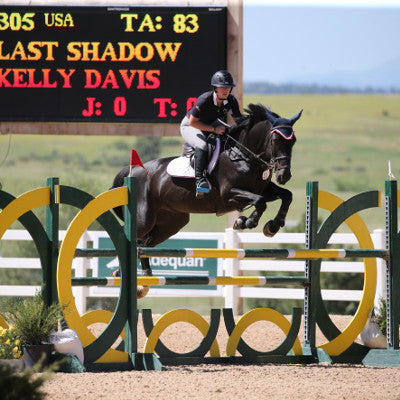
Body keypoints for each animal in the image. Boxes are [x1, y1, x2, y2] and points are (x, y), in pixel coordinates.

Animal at [111, 103, 302, 296]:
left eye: (293, 141)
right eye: (275, 140)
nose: (284, 175)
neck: (242, 156)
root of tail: (133, 172)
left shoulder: (264, 189)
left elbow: (286, 195)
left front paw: (272, 226)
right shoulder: (229, 195)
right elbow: (260, 201)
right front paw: (246, 222)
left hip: (171, 223)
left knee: (143, 244)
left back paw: (143, 279)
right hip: (144, 220)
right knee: (130, 237)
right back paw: (124, 273)